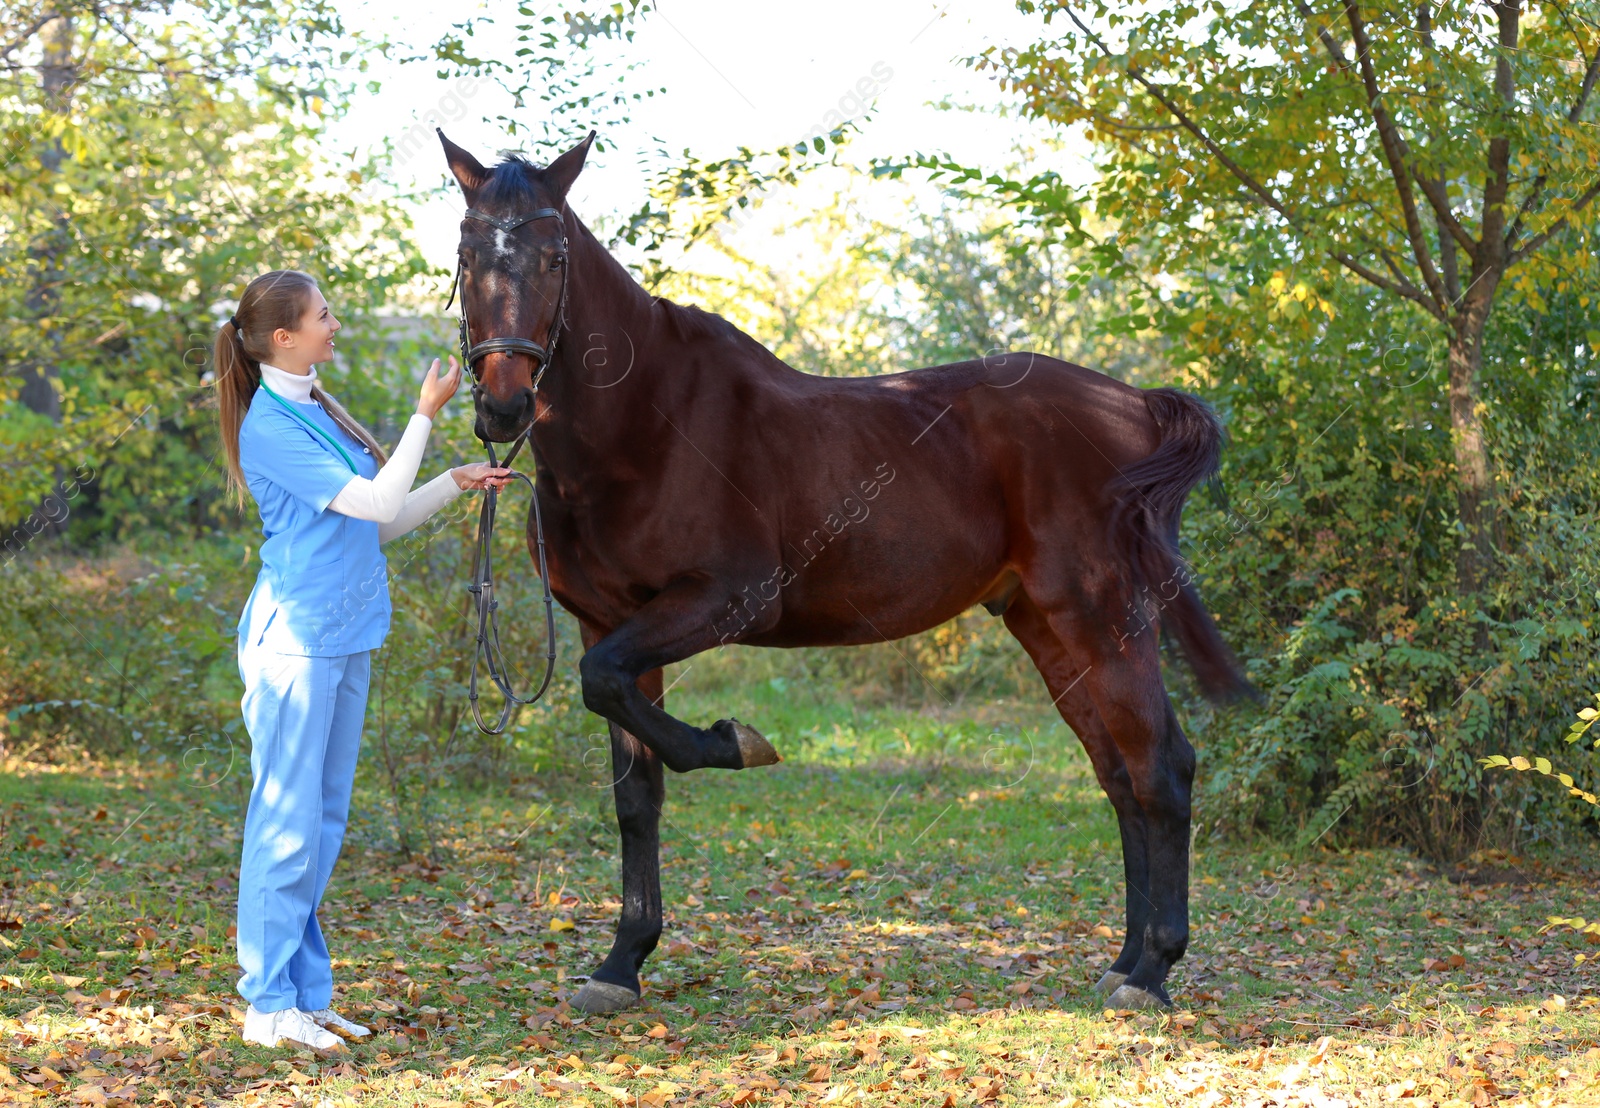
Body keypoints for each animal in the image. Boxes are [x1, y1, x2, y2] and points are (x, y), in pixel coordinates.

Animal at [444, 129, 1254, 1011]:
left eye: (555, 255)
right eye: (466, 250)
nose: (503, 407)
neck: (644, 425)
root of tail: (1134, 406)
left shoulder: (723, 600)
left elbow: (611, 693)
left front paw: (736, 742)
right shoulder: (610, 621)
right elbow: (635, 791)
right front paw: (621, 963)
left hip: (1103, 614)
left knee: (1160, 768)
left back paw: (1152, 972)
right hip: (1046, 625)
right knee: (1117, 775)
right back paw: (1124, 960)